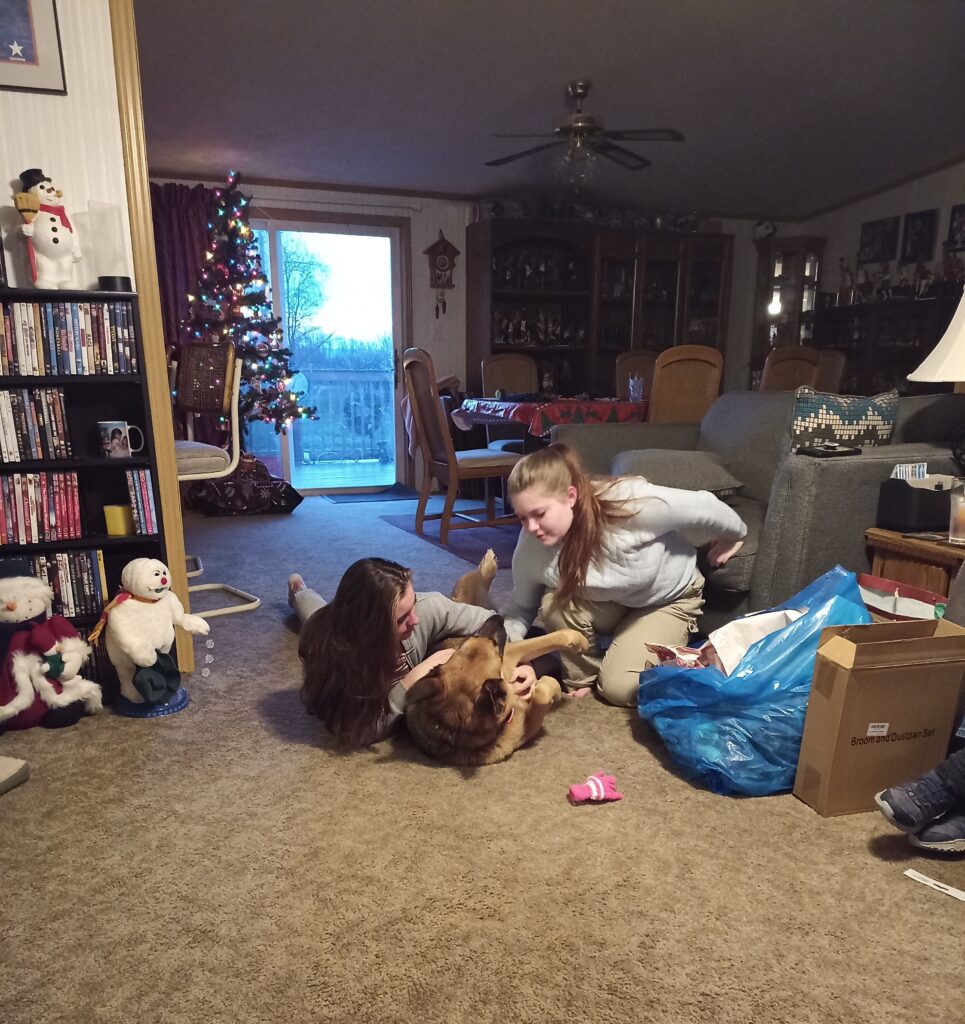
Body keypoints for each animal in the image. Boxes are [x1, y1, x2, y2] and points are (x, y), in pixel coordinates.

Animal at [404, 550, 588, 765]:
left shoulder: (510, 652)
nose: (498, 619)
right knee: (477, 580)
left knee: (476, 579)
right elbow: (544, 685)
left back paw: (488, 566)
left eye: (467, 643)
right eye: (494, 652)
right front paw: (556, 682)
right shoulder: (510, 659)